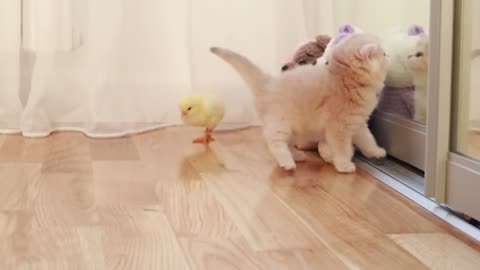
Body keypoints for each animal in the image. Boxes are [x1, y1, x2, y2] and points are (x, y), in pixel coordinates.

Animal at [212, 33, 388, 173]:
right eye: (384, 54)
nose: (389, 56)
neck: (344, 78)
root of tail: (268, 82)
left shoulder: (358, 123)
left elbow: (368, 140)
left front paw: (377, 152)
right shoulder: (339, 128)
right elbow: (342, 149)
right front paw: (344, 165)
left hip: (294, 128)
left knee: (288, 143)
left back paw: (296, 155)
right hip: (280, 124)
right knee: (274, 142)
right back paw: (286, 162)